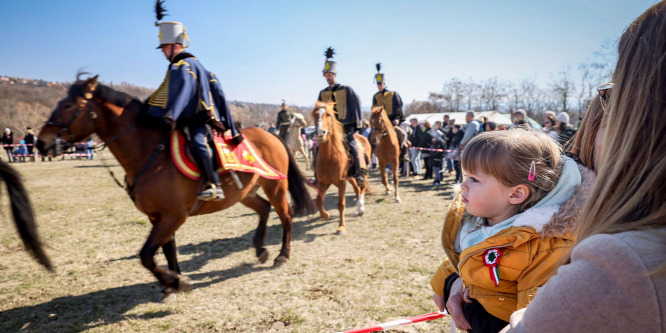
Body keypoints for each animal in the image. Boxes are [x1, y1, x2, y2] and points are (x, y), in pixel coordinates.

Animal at [35, 76, 314, 296]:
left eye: (68, 105)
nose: (41, 143)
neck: (149, 153)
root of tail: (271, 135)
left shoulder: (173, 216)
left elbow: (147, 255)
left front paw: (173, 281)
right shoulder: (158, 217)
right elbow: (168, 249)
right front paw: (174, 280)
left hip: (275, 186)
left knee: (286, 214)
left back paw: (282, 255)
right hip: (244, 193)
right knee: (264, 209)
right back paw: (260, 249)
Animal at [310, 101, 370, 233]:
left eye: (328, 115)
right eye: (315, 115)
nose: (320, 132)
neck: (329, 157)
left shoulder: (341, 182)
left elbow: (341, 204)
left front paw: (341, 226)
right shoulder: (323, 183)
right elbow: (317, 200)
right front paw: (325, 215)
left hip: (363, 173)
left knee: (362, 187)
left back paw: (361, 208)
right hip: (351, 177)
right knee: (357, 189)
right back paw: (357, 210)